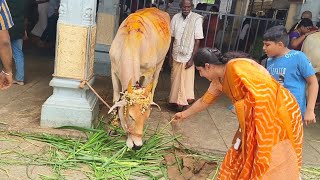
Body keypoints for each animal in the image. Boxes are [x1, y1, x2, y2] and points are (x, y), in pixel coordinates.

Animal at [107, 7, 171, 150]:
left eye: (146, 117)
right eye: (130, 116)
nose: (138, 145)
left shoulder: (148, 73)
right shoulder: (113, 71)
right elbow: (115, 99)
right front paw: (113, 126)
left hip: (160, 62)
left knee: (155, 82)